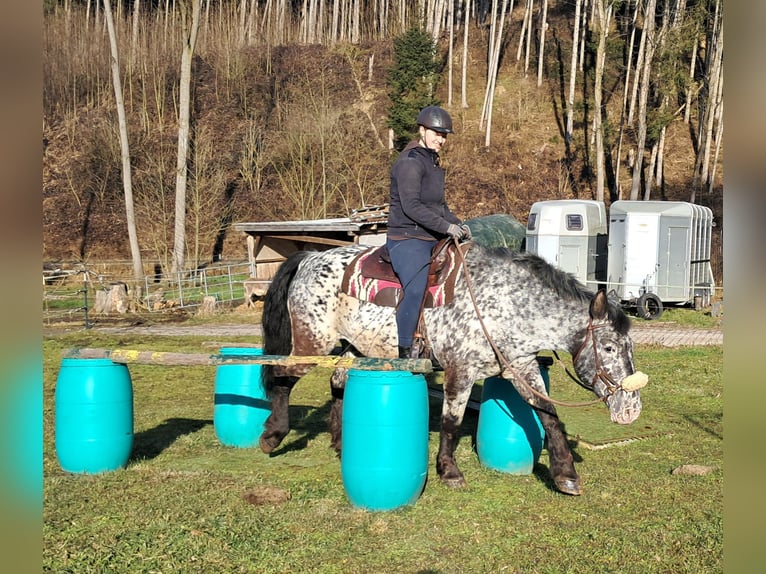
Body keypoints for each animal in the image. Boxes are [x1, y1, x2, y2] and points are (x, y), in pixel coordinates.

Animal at [258, 241, 648, 498]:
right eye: (609, 347)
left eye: (629, 347)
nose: (631, 409)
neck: (505, 302)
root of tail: (310, 257)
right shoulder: (461, 369)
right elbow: (451, 421)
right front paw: (449, 471)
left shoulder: (520, 365)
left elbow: (547, 414)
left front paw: (565, 474)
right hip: (312, 343)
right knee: (281, 376)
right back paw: (272, 435)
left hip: (359, 346)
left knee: (338, 380)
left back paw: (341, 444)